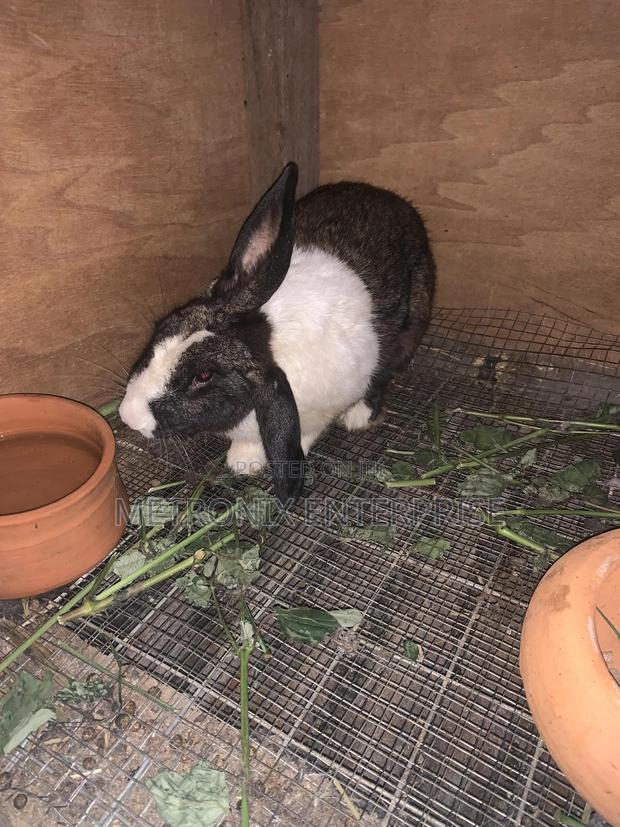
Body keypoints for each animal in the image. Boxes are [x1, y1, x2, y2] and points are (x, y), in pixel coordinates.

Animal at [119, 162, 435, 504]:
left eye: (203, 376)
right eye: (163, 326)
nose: (128, 415)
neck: (266, 336)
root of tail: (398, 201)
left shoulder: (314, 415)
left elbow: (302, 437)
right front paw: (242, 461)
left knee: (386, 370)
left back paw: (359, 416)